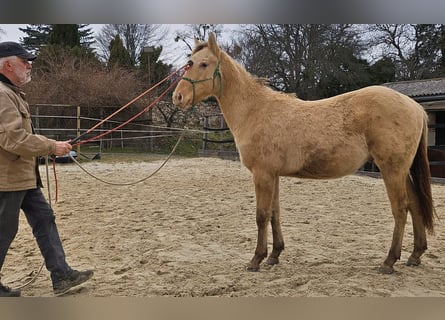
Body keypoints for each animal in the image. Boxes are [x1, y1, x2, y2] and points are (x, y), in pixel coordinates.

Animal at [172, 32, 436, 274]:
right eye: (190, 62)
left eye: (203, 64)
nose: (178, 97)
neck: (256, 110)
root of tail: (415, 106)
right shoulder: (273, 175)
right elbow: (274, 213)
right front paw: (274, 255)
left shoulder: (262, 174)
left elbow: (261, 215)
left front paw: (256, 259)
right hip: (401, 170)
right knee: (414, 204)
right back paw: (415, 255)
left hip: (391, 169)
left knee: (400, 208)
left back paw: (389, 261)